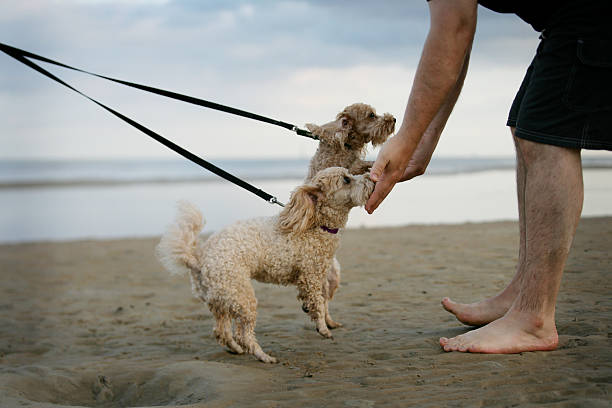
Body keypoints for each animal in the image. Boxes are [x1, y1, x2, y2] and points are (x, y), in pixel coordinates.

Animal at [155, 167, 376, 364]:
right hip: (240, 294)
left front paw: (325, 321)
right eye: (346, 180)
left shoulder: (319, 274)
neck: (316, 225)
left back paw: (236, 349)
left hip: (221, 298)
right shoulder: (310, 275)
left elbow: (321, 301)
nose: (371, 178)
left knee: (222, 331)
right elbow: (318, 304)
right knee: (244, 334)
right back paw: (263, 356)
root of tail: (198, 260)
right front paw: (323, 329)